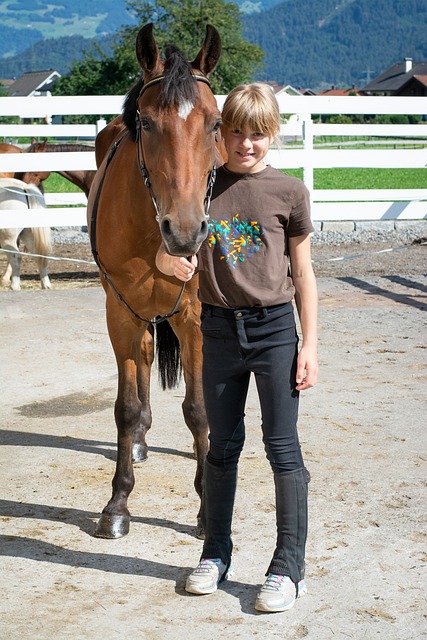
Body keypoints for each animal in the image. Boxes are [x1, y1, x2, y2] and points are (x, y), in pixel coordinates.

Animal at [85, 21, 222, 540]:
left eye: (215, 124)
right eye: (145, 123)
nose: (185, 232)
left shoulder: (195, 318)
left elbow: (200, 410)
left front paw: (207, 506)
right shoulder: (120, 312)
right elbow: (124, 408)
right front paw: (118, 504)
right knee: (142, 358)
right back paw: (141, 439)